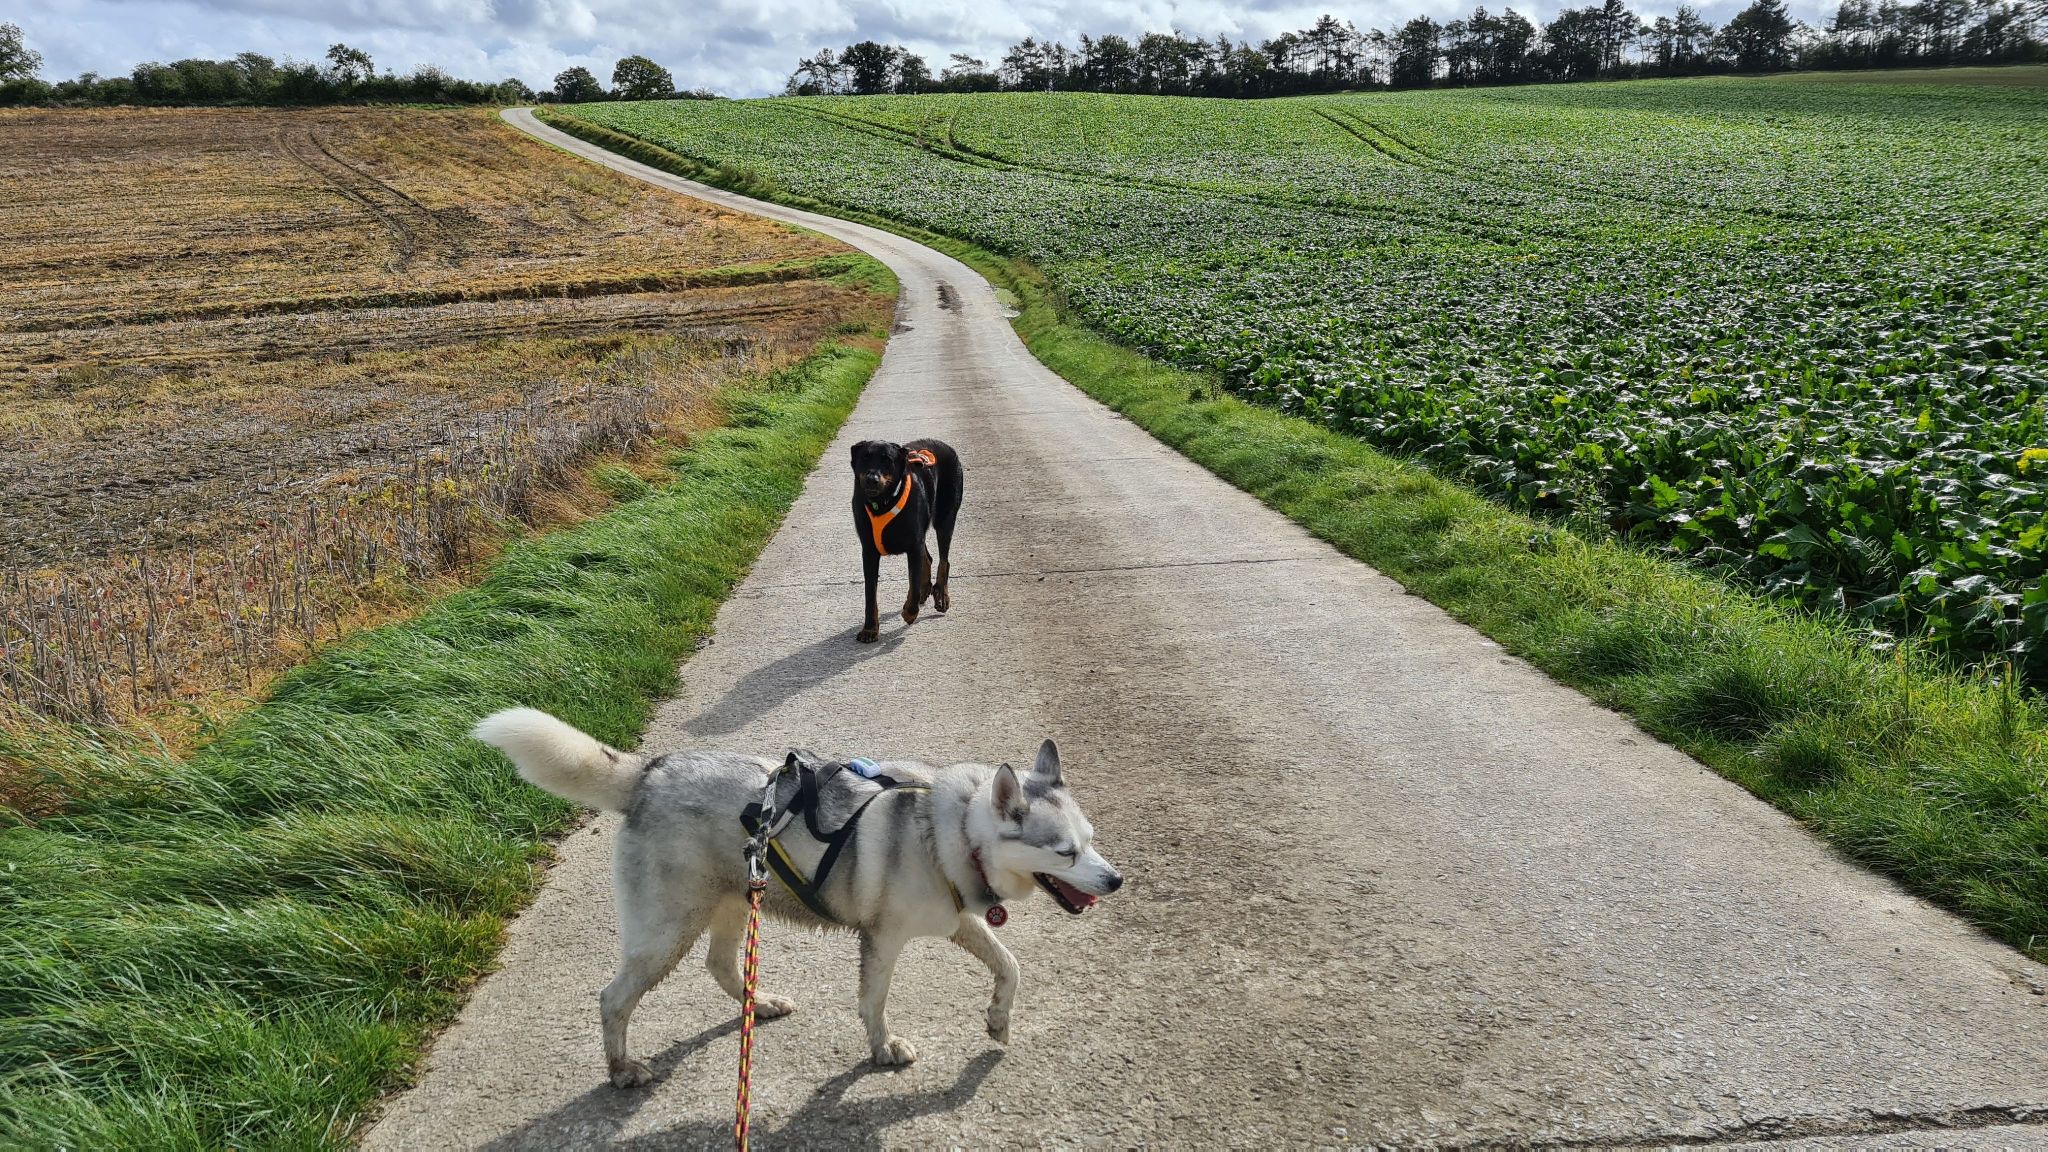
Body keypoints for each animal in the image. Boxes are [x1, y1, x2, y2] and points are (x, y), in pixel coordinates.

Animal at [472, 708, 1123, 1087]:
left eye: (1091, 841)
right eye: (1064, 852)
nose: (1115, 881)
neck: (955, 832)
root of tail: (649, 772)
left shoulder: (958, 920)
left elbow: (1009, 965)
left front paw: (997, 1021)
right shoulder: (882, 940)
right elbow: (873, 1004)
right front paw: (883, 1050)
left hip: (735, 902)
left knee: (720, 964)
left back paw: (757, 1005)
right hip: (665, 933)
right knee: (613, 999)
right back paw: (622, 1069)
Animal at [849, 438, 963, 643]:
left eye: (887, 460)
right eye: (865, 458)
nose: (872, 478)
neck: (884, 502)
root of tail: (944, 445)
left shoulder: (913, 544)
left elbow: (913, 582)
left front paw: (910, 613)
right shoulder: (869, 550)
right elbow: (870, 593)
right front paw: (870, 629)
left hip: (945, 517)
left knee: (943, 561)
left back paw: (941, 596)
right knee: (928, 558)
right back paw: (927, 589)